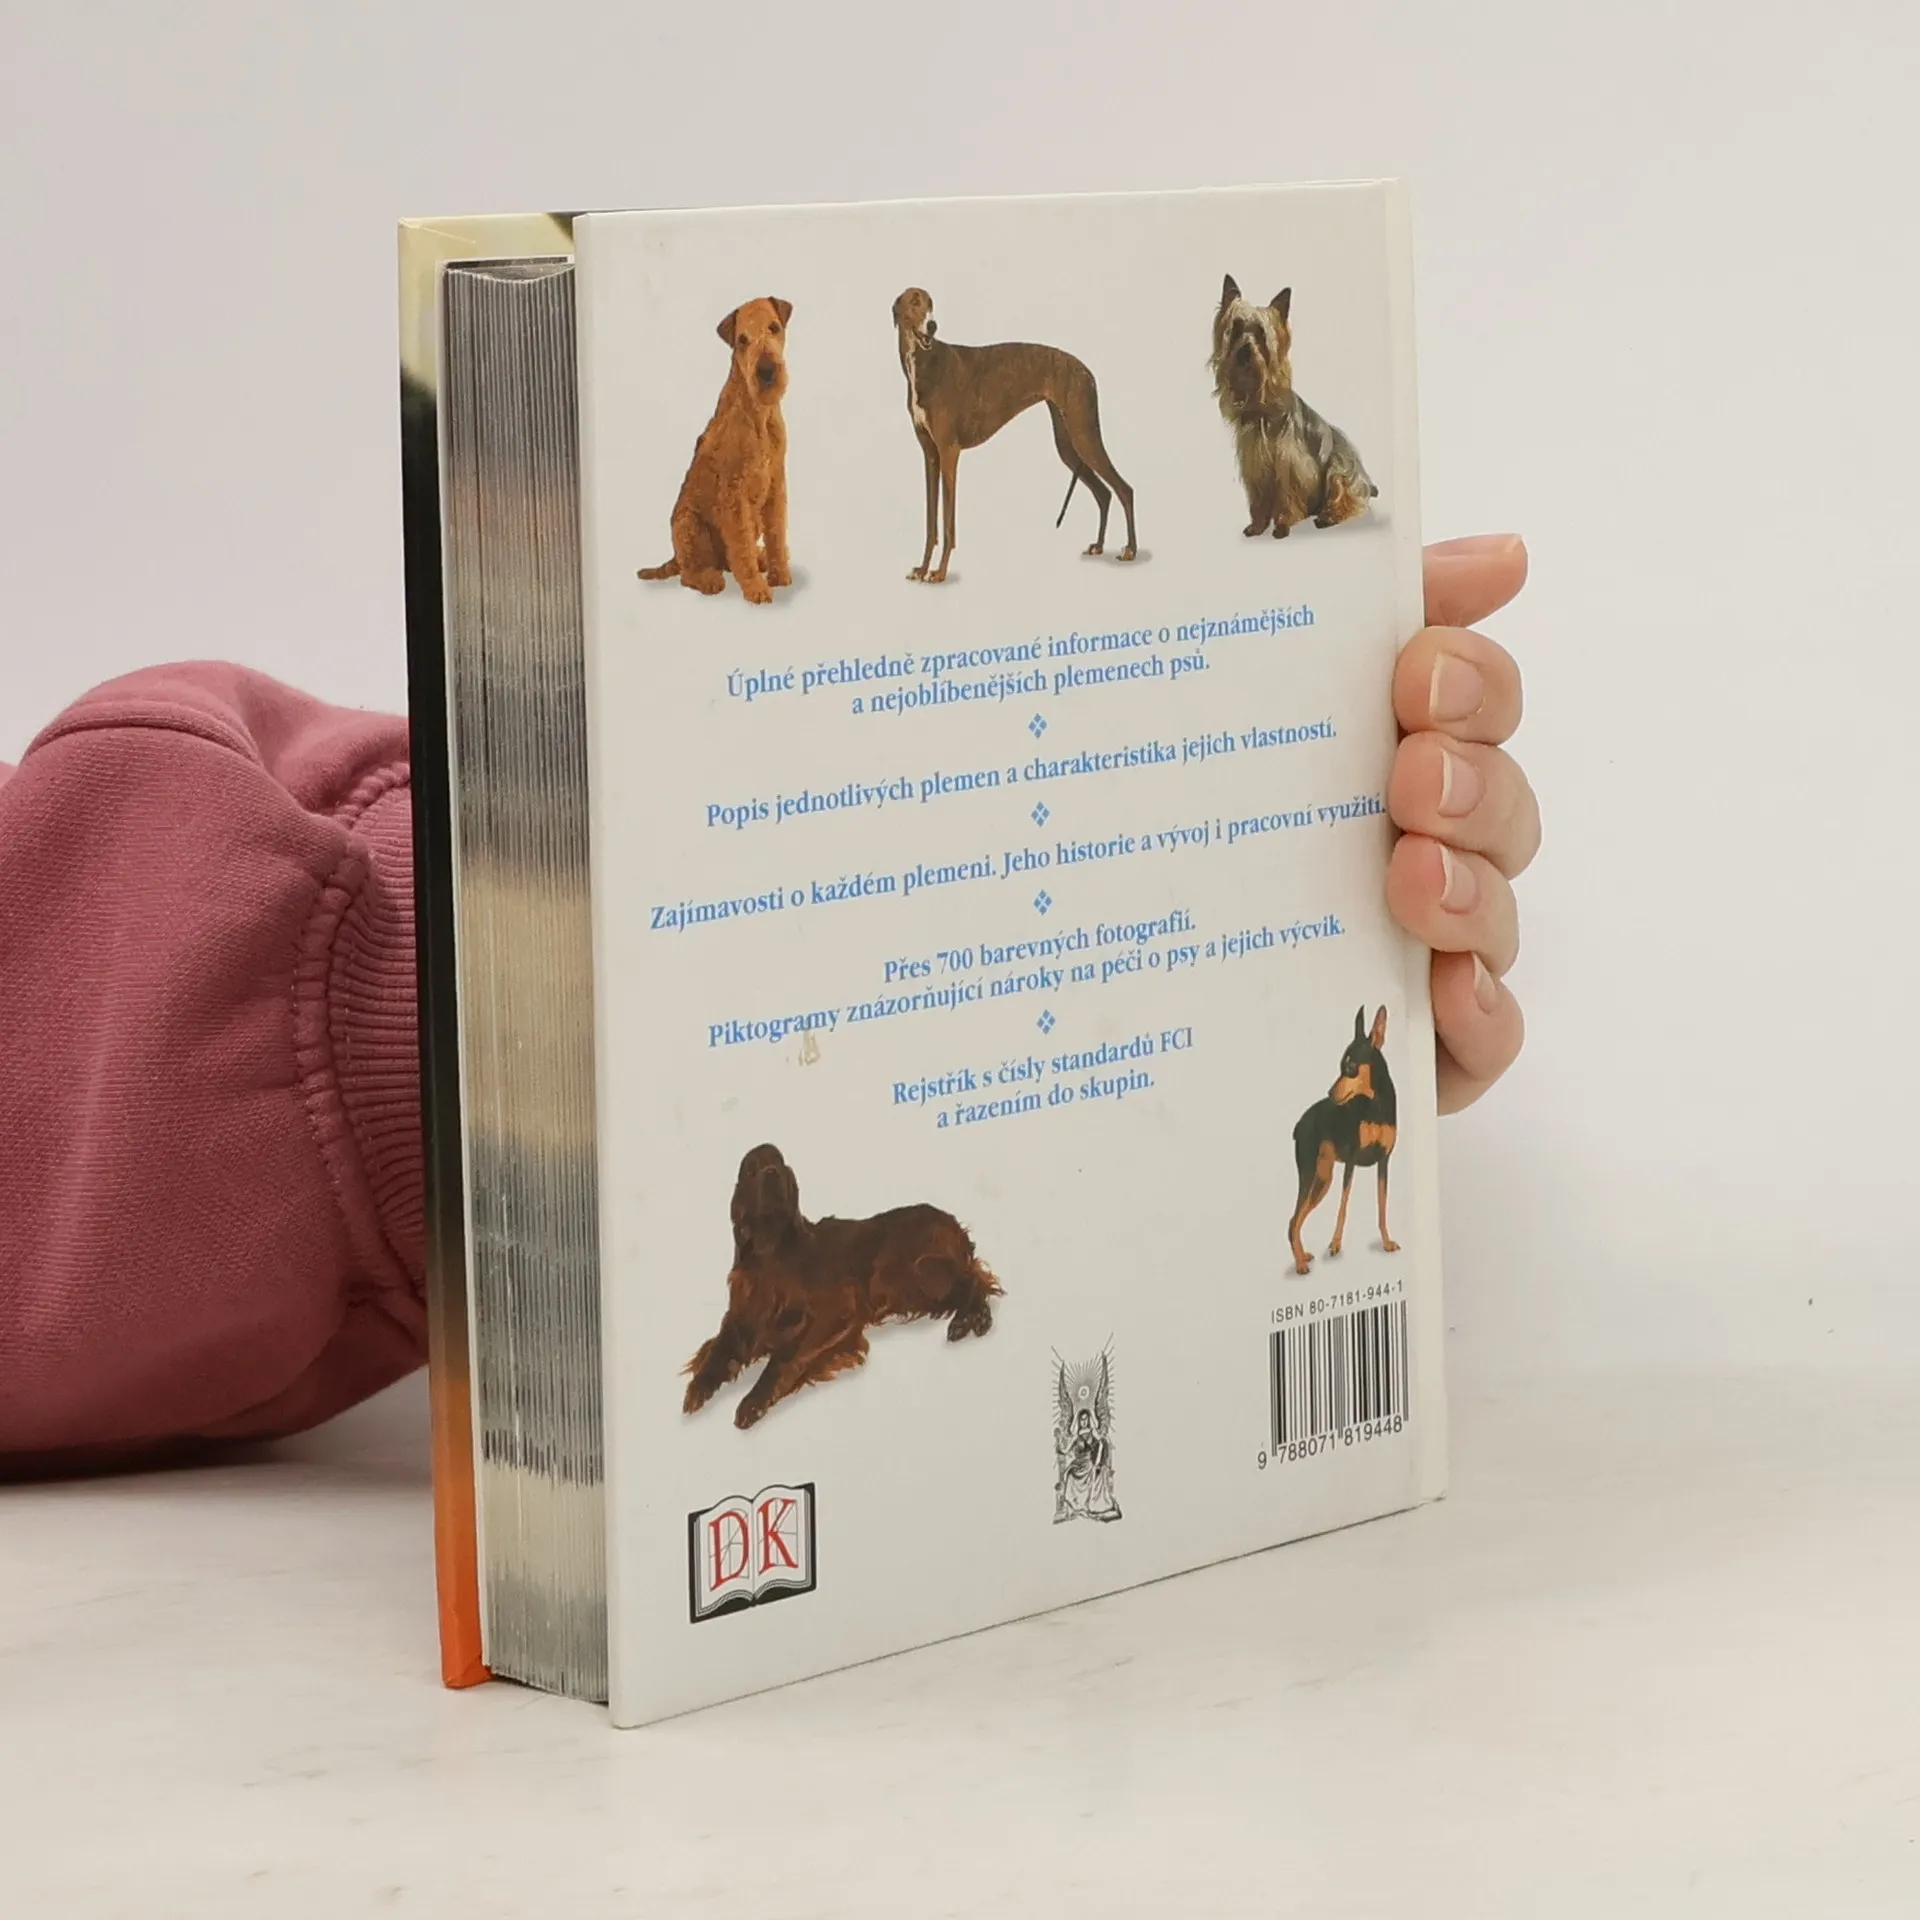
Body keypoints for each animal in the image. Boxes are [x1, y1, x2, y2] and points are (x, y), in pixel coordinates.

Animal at [637, 296, 793, 605]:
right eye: (742, 340)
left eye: (774, 327)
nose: (766, 372)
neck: (759, 414)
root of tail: (675, 557)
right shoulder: (734, 494)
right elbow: (741, 546)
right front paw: (757, 589)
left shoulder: (775, 485)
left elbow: (776, 535)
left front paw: (780, 575)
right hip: (689, 526)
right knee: (692, 572)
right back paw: (710, 580)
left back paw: (760, 559)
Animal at [682, 1144, 1002, 1430]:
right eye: (752, 1168)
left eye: (779, 1161)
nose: (772, 1172)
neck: (773, 1252)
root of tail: (952, 1221)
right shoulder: (742, 1316)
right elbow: (718, 1350)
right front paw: (697, 1389)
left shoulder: (837, 1309)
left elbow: (783, 1357)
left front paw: (752, 1402)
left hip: (908, 1271)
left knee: (975, 1278)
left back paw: (972, 1319)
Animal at [891, 287, 1136, 583]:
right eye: (915, 302)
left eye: (930, 304)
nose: (932, 326)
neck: (925, 363)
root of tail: (1086, 371)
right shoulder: (931, 455)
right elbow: (931, 522)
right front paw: (923, 568)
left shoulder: (949, 452)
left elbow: (948, 523)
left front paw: (939, 572)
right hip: (1068, 443)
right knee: (1104, 492)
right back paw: (1099, 545)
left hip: (1084, 435)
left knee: (1124, 489)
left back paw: (1130, 550)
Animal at [1211, 277, 1377, 540]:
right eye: (1235, 328)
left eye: (1260, 334)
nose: (1245, 351)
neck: (1262, 409)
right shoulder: (1256, 467)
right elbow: (1259, 501)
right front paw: (1257, 526)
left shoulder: (1290, 465)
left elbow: (1288, 497)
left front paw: (1282, 525)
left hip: (1340, 470)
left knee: (1347, 500)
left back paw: (1328, 516)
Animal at [1288, 1006, 1400, 1276]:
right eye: (1341, 1065)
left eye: (1350, 1066)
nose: (1330, 1094)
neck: (1375, 1107)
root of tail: (1299, 1123)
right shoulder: (1351, 1160)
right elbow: (1344, 1205)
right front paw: (1335, 1244)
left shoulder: (1384, 1161)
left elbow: (1382, 1205)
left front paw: (1386, 1242)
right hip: (1309, 1173)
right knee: (1294, 1218)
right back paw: (1299, 1263)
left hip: (1322, 1178)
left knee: (1296, 1219)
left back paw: (1302, 1255)